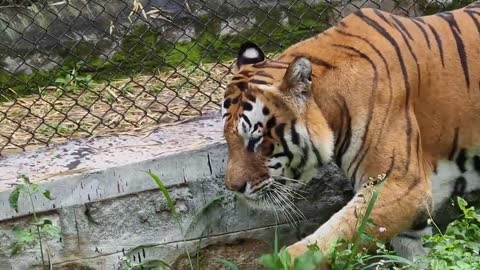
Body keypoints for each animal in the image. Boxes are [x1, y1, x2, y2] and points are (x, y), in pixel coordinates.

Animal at [220, 0, 480, 262]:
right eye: (227, 139)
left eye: (256, 139)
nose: (233, 188)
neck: (329, 104)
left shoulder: (401, 185)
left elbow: (334, 236)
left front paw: (282, 261)